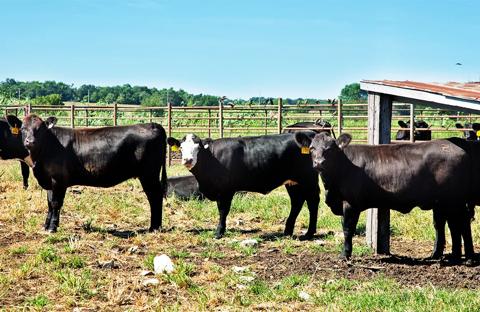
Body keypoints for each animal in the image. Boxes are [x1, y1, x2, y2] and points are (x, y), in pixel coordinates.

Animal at [21, 114, 169, 232]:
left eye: (40, 129)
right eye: (23, 128)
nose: (30, 142)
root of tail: (152, 124)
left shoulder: (58, 180)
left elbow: (56, 203)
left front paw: (52, 227)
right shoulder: (49, 181)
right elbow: (50, 203)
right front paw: (46, 226)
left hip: (149, 175)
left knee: (155, 196)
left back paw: (154, 227)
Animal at [167, 132, 320, 239]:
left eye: (197, 147)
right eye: (181, 147)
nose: (188, 160)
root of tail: (309, 134)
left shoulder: (226, 190)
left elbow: (223, 210)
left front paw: (219, 232)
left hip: (309, 179)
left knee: (313, 202)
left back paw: (309, 233)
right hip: (293, 183)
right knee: (297, 202)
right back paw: (287, 231)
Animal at [294, 132, 474, 260]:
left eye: (329, 149)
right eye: (312, 148)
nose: (319, 163)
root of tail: (459, 149)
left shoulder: (351, 203)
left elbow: (348, 228)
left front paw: (345, 255)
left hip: (454, 200)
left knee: (462, 223)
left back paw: (468, 257)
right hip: (445, 202)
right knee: (453, 225)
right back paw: (452, 256)